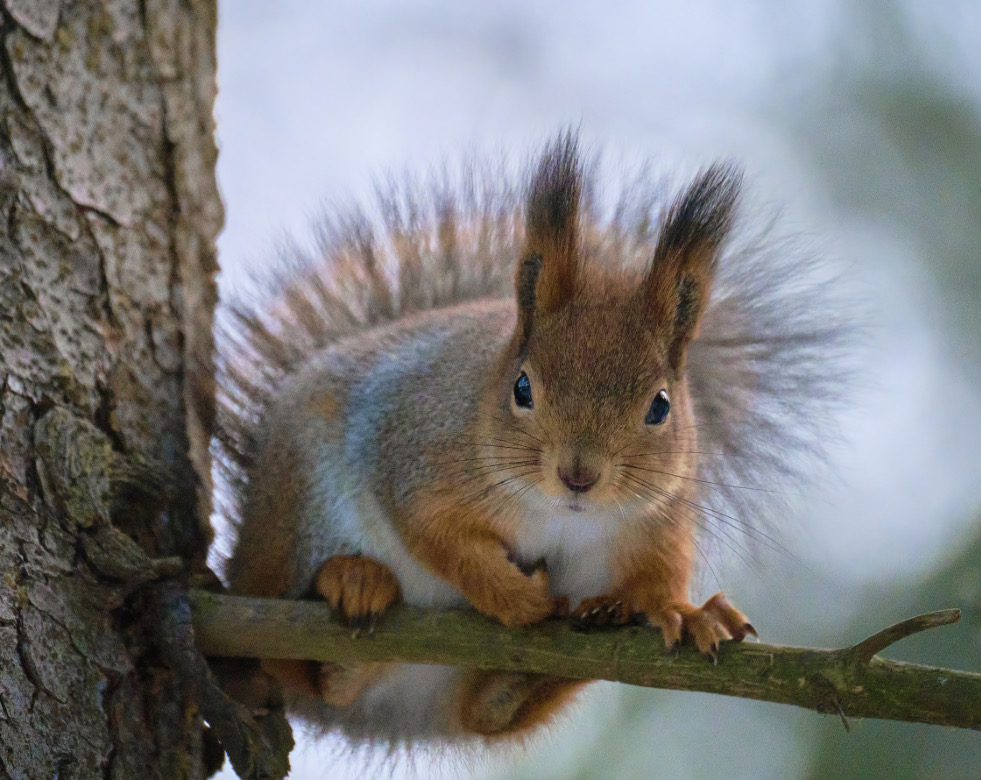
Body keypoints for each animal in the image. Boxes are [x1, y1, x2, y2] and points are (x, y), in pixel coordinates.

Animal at [218, 131, 848, 748]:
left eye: (661, 406)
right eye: (522, 387)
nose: (579, 475)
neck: (559, 515)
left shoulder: (661, 520)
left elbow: (660, 577)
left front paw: (684, 611)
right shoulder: (417, 456)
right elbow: (439, 536)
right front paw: (518, 598)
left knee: (486, 716)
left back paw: (535, 664)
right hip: (294, 508)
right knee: (287, 662)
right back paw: (353, 583)